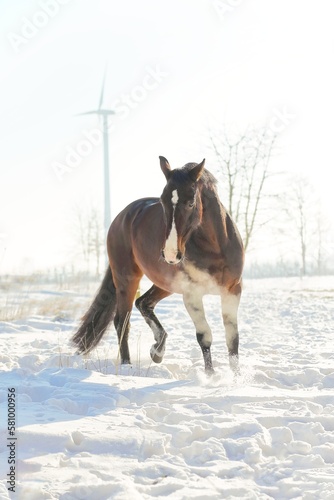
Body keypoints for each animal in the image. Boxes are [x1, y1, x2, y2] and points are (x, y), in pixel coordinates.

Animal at [72, 158, 244, 374]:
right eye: (162, 201)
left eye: (191, 202)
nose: (170, 253)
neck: (215, 247)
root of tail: (121, 217)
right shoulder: (192, 295)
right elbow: (204, 336)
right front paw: (211, 377)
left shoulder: (232, 291)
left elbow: (232, 340)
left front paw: (237, 378)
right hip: (127, 279)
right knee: (122, 321)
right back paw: (128, 365)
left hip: (165, 285)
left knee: (143, 303)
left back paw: (157, 350)